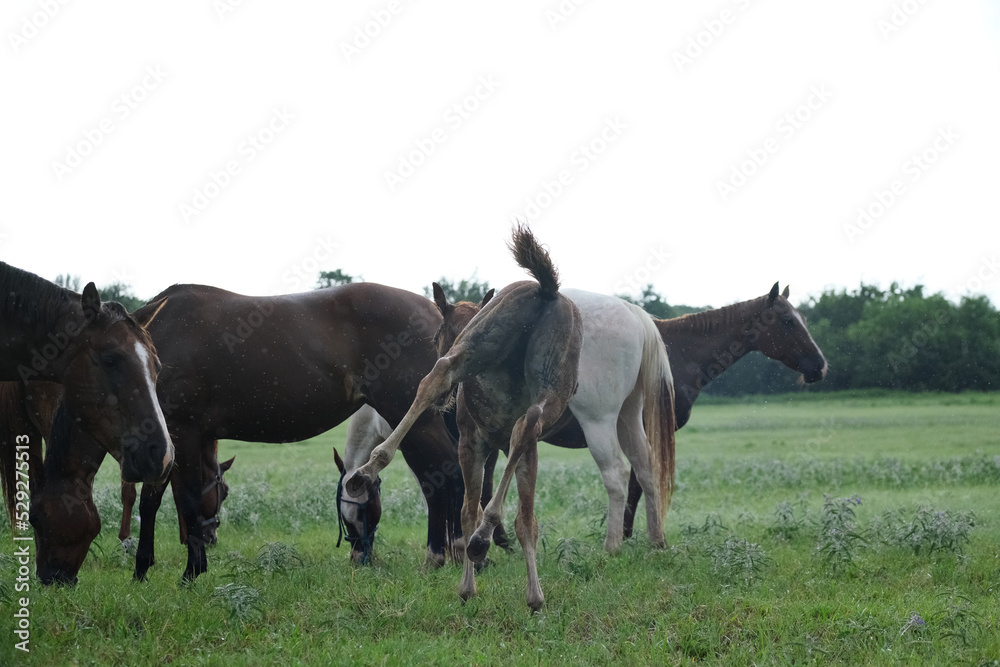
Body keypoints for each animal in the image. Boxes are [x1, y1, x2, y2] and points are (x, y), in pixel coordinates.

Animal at [18, 281, 465, 584]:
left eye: (36, 518)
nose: (50, 580)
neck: (144, 356)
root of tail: (436, 313)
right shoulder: (166, 439)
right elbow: (157, 500)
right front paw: (144, 569)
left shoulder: (179, 433)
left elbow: (186, 498)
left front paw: (190, 573)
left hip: (415, 419)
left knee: (447, 476)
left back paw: (447, 554)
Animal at [347, 225, 583, 611]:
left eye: (434, 335)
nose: (448, 404)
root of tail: (545, 289)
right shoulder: (492, 447)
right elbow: (507, 515)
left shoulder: (479, 445)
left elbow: (495, 514)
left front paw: (500, 587)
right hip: (530, 376)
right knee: (497, 407)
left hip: (498, 363)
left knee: (445, 381)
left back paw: (369, 471)